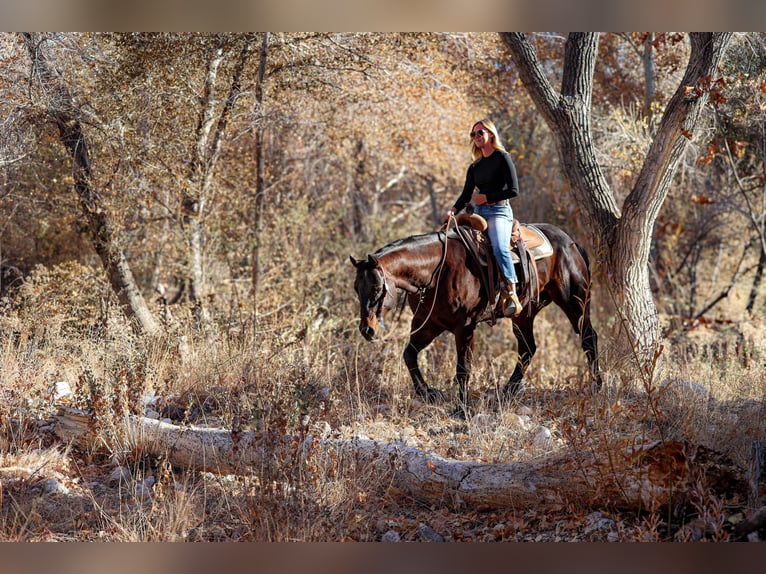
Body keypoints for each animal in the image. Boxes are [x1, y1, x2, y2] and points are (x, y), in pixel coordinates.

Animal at [352, 218, 604, 408]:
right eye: (356, 288)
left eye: (376, 288)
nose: (367, 330)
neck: (437, 271)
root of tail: (571, 242)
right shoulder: (429, 324)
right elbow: (409, 355)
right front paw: (429, 393)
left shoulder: (464, 327)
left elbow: (463, 368)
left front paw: (461, 409)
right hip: (524, 313)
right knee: (527, 348)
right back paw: (507, 392)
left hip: (574, 302)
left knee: (588, 337)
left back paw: (596, 385)